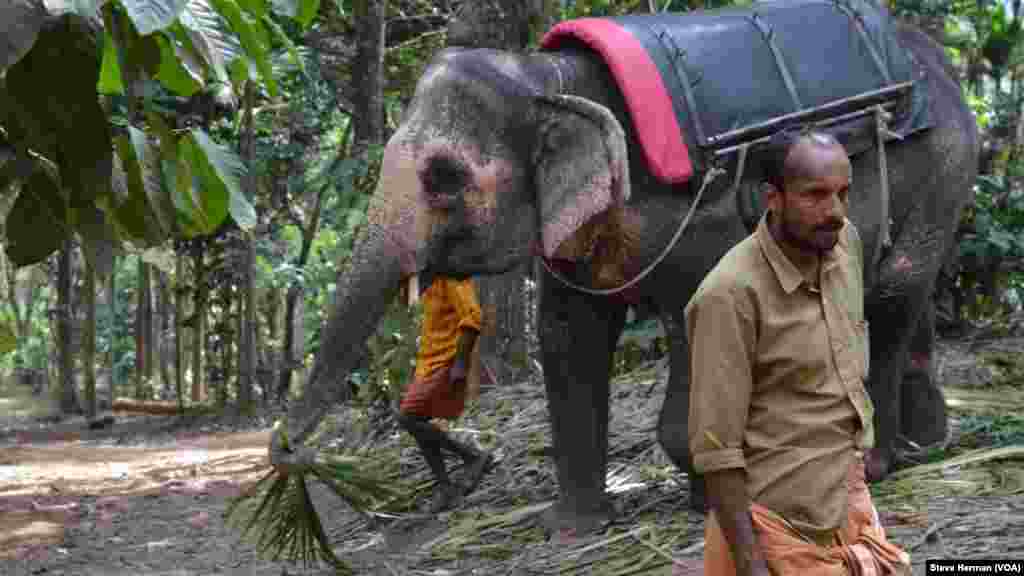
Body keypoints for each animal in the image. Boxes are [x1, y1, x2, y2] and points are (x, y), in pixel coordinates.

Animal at [276, 0, 978, 532]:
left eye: (445, 178)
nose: (284, 452)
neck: (545, 76)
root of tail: (934, 59)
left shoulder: (704, 209)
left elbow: (702, 316)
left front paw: (712, 501)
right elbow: (567, 336)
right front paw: (575, 529)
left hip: (946, 157)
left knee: (891, 292)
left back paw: (876, 467)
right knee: (902, 290)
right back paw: (925, 447)